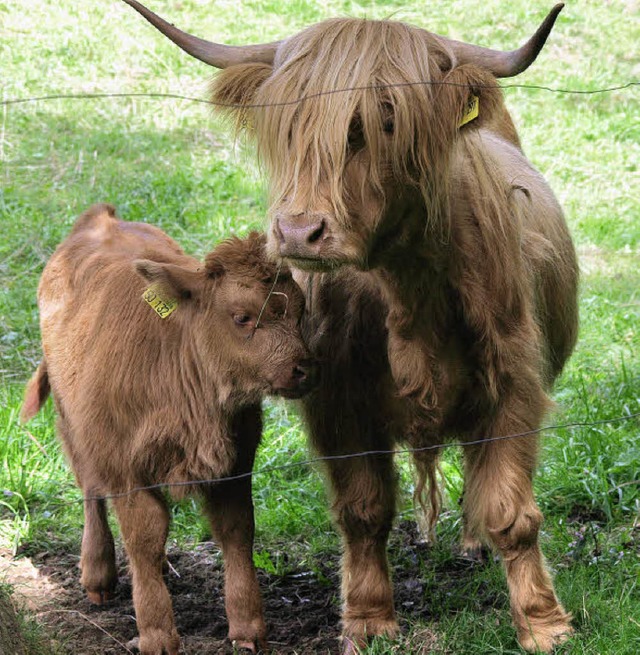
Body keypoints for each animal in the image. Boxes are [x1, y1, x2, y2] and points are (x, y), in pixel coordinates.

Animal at [21, 205, 316, 655]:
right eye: (242, 317)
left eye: (300, 312)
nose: (304, 369)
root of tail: (101, 217)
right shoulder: (125, 469)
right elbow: (143, 536)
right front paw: (157, 634)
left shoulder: (235, 465)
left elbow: (236, 531)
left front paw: (248, 628)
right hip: (73, 422)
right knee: (89, 487)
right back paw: (97, 574)